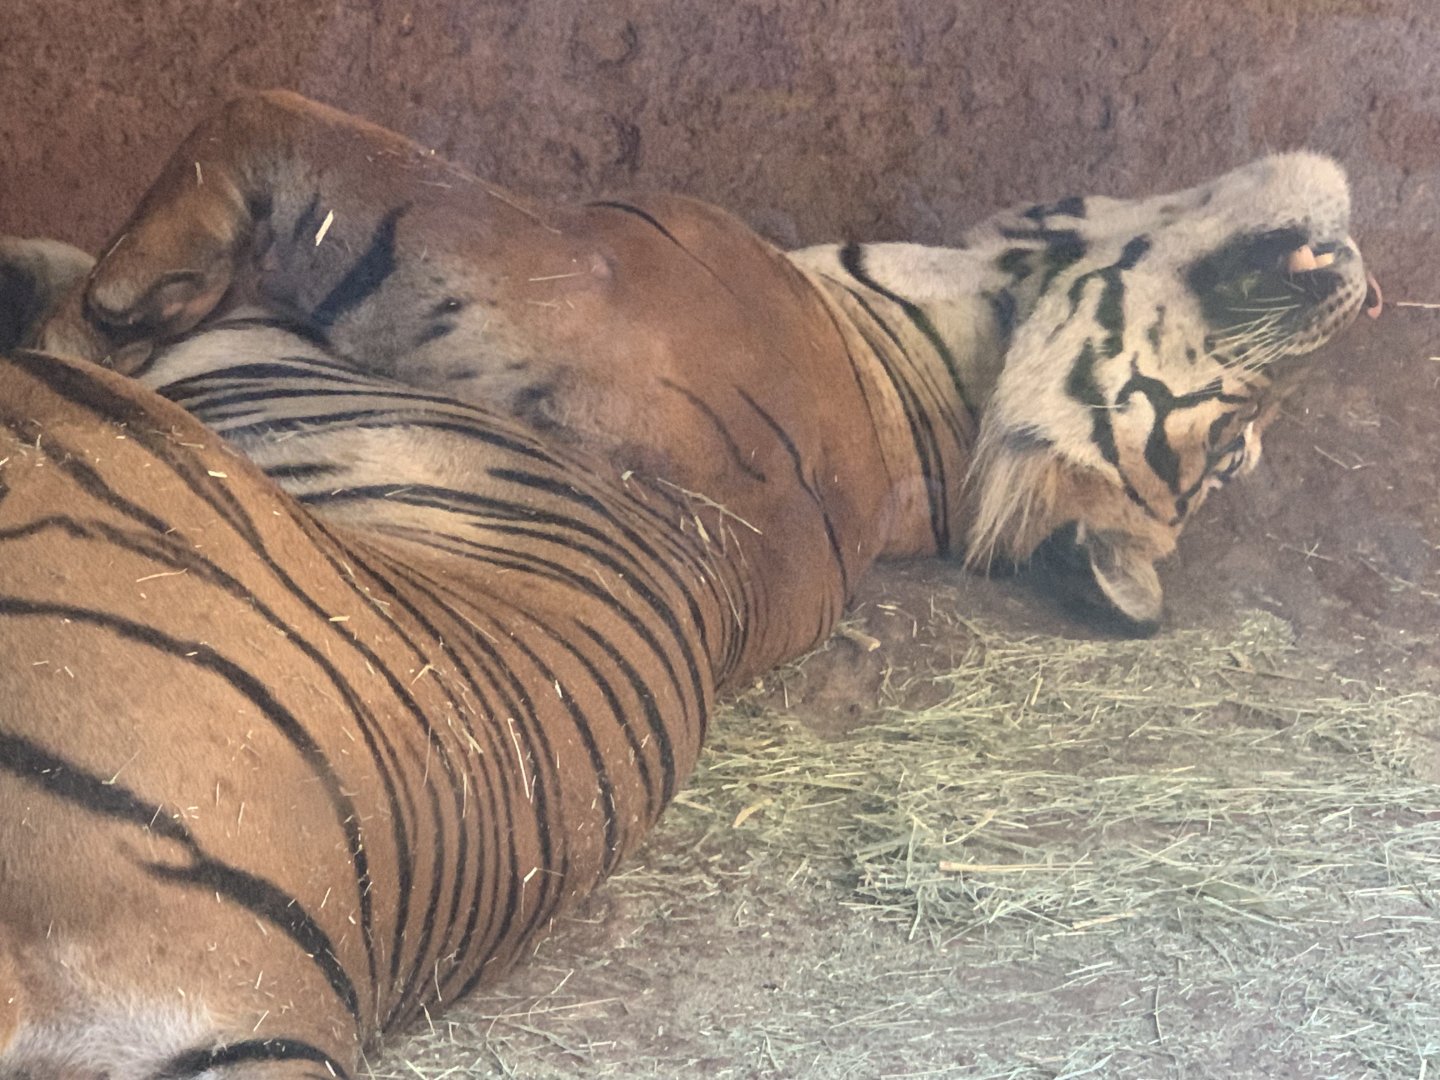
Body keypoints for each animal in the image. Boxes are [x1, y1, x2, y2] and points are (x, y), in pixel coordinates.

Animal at [1, 90, 1376, 1078]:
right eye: (1236, 446)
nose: (1364, 296)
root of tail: (288, 1001)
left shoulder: (553, 265)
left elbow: (260, 119)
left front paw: (117, 295)